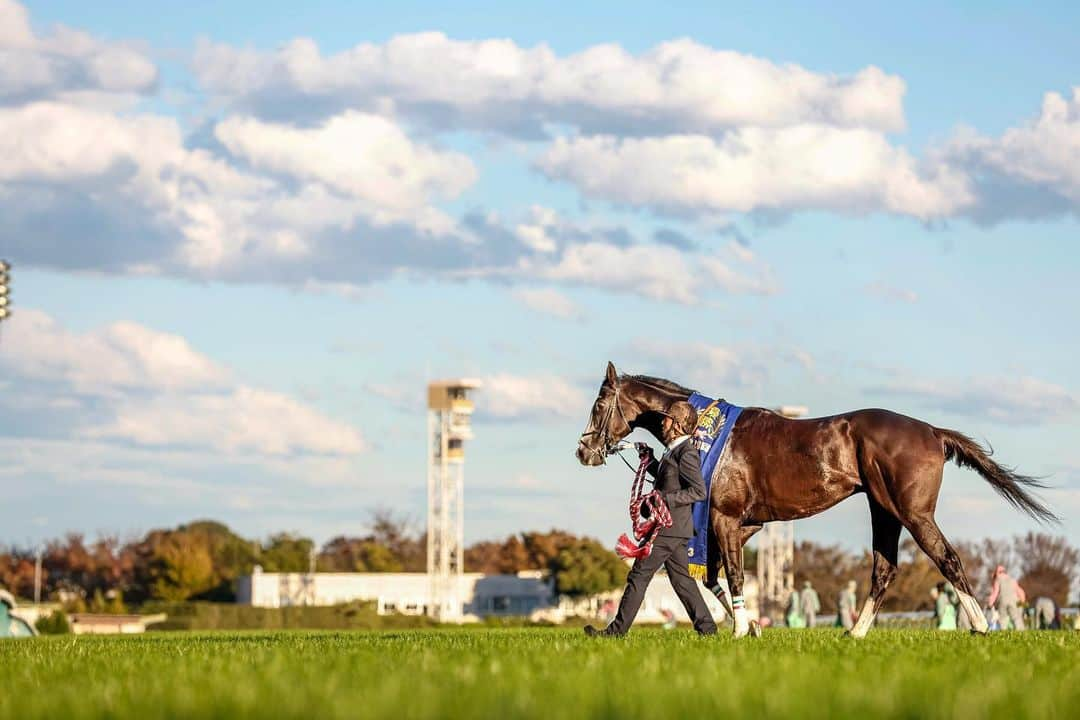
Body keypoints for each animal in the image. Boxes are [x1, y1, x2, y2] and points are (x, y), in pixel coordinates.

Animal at [574, 362, 1054, 639]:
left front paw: (741, 630)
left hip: (913, 513)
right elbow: (713, 578)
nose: (584, 451)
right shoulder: (745, 525)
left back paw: (981, 626)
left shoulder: (727, 520)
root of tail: (933, 431)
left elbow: (733, 576)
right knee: (884, 570)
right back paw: (854, 634)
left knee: (947, 559)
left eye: (599, 404)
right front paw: (750, 626)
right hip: (884, 512)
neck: (707, 436)